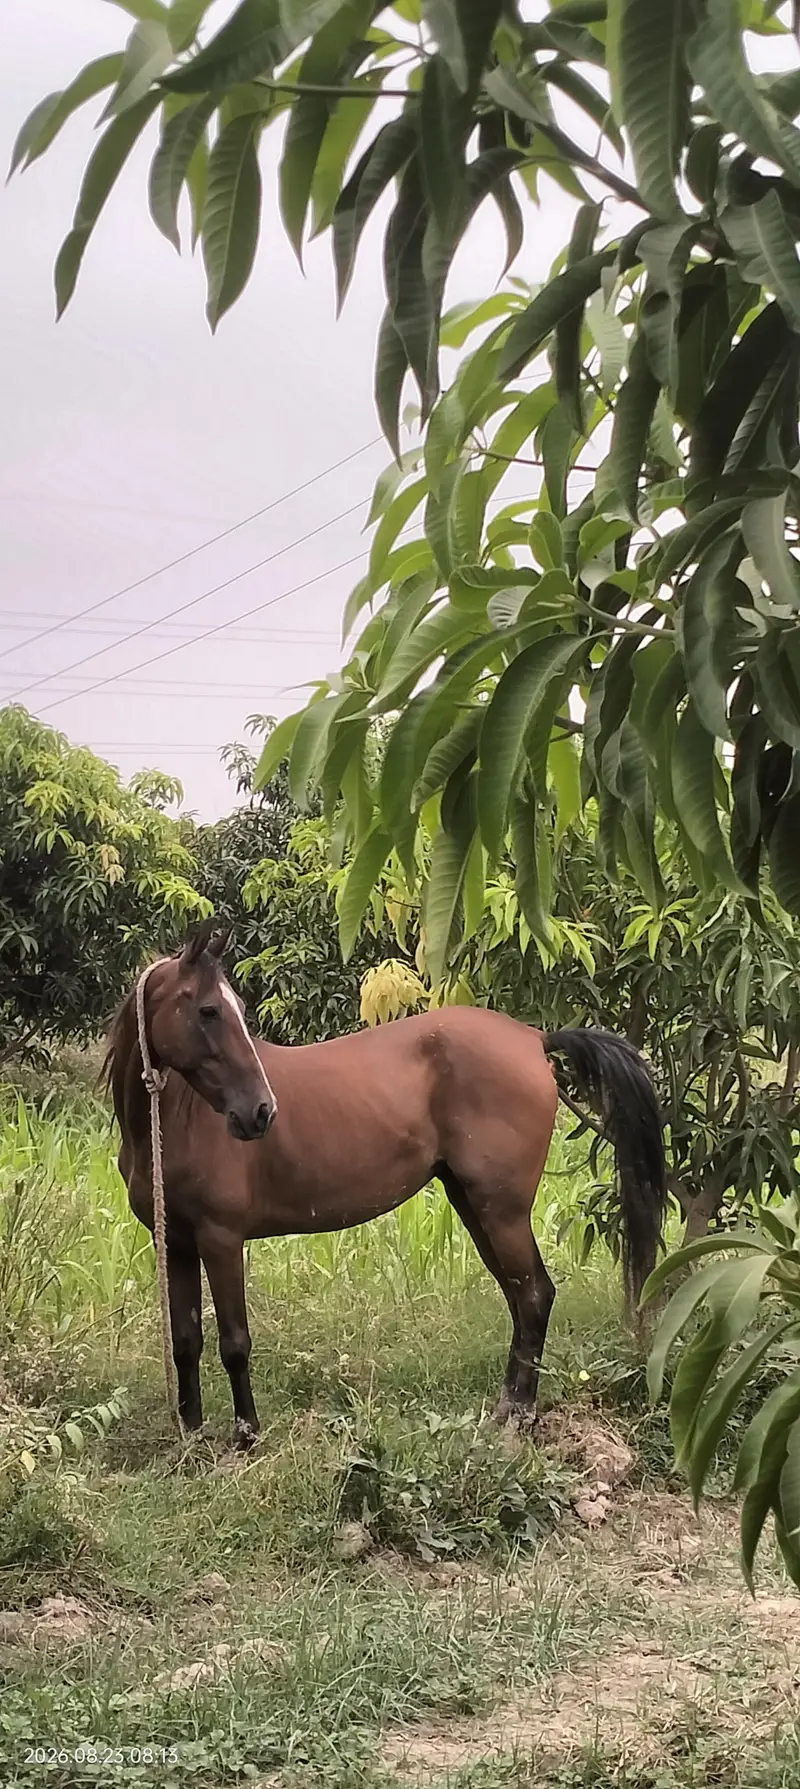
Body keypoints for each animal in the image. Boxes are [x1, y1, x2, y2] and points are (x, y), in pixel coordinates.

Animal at [105, 917, 666, 1446]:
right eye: (208, 1011)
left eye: (233, 1010)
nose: (260, 1112)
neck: (172, 1125)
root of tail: (534, 1039)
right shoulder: (176, 1243)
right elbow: (186, 1341)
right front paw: (191, 1433)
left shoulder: (221, 1240)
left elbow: (234, 1342)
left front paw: (246, 1437)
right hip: (474, 1205)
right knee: (521, 1297)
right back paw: (507, 1408)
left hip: (501, 1211)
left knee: (534, 1296)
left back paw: (518, 1415)